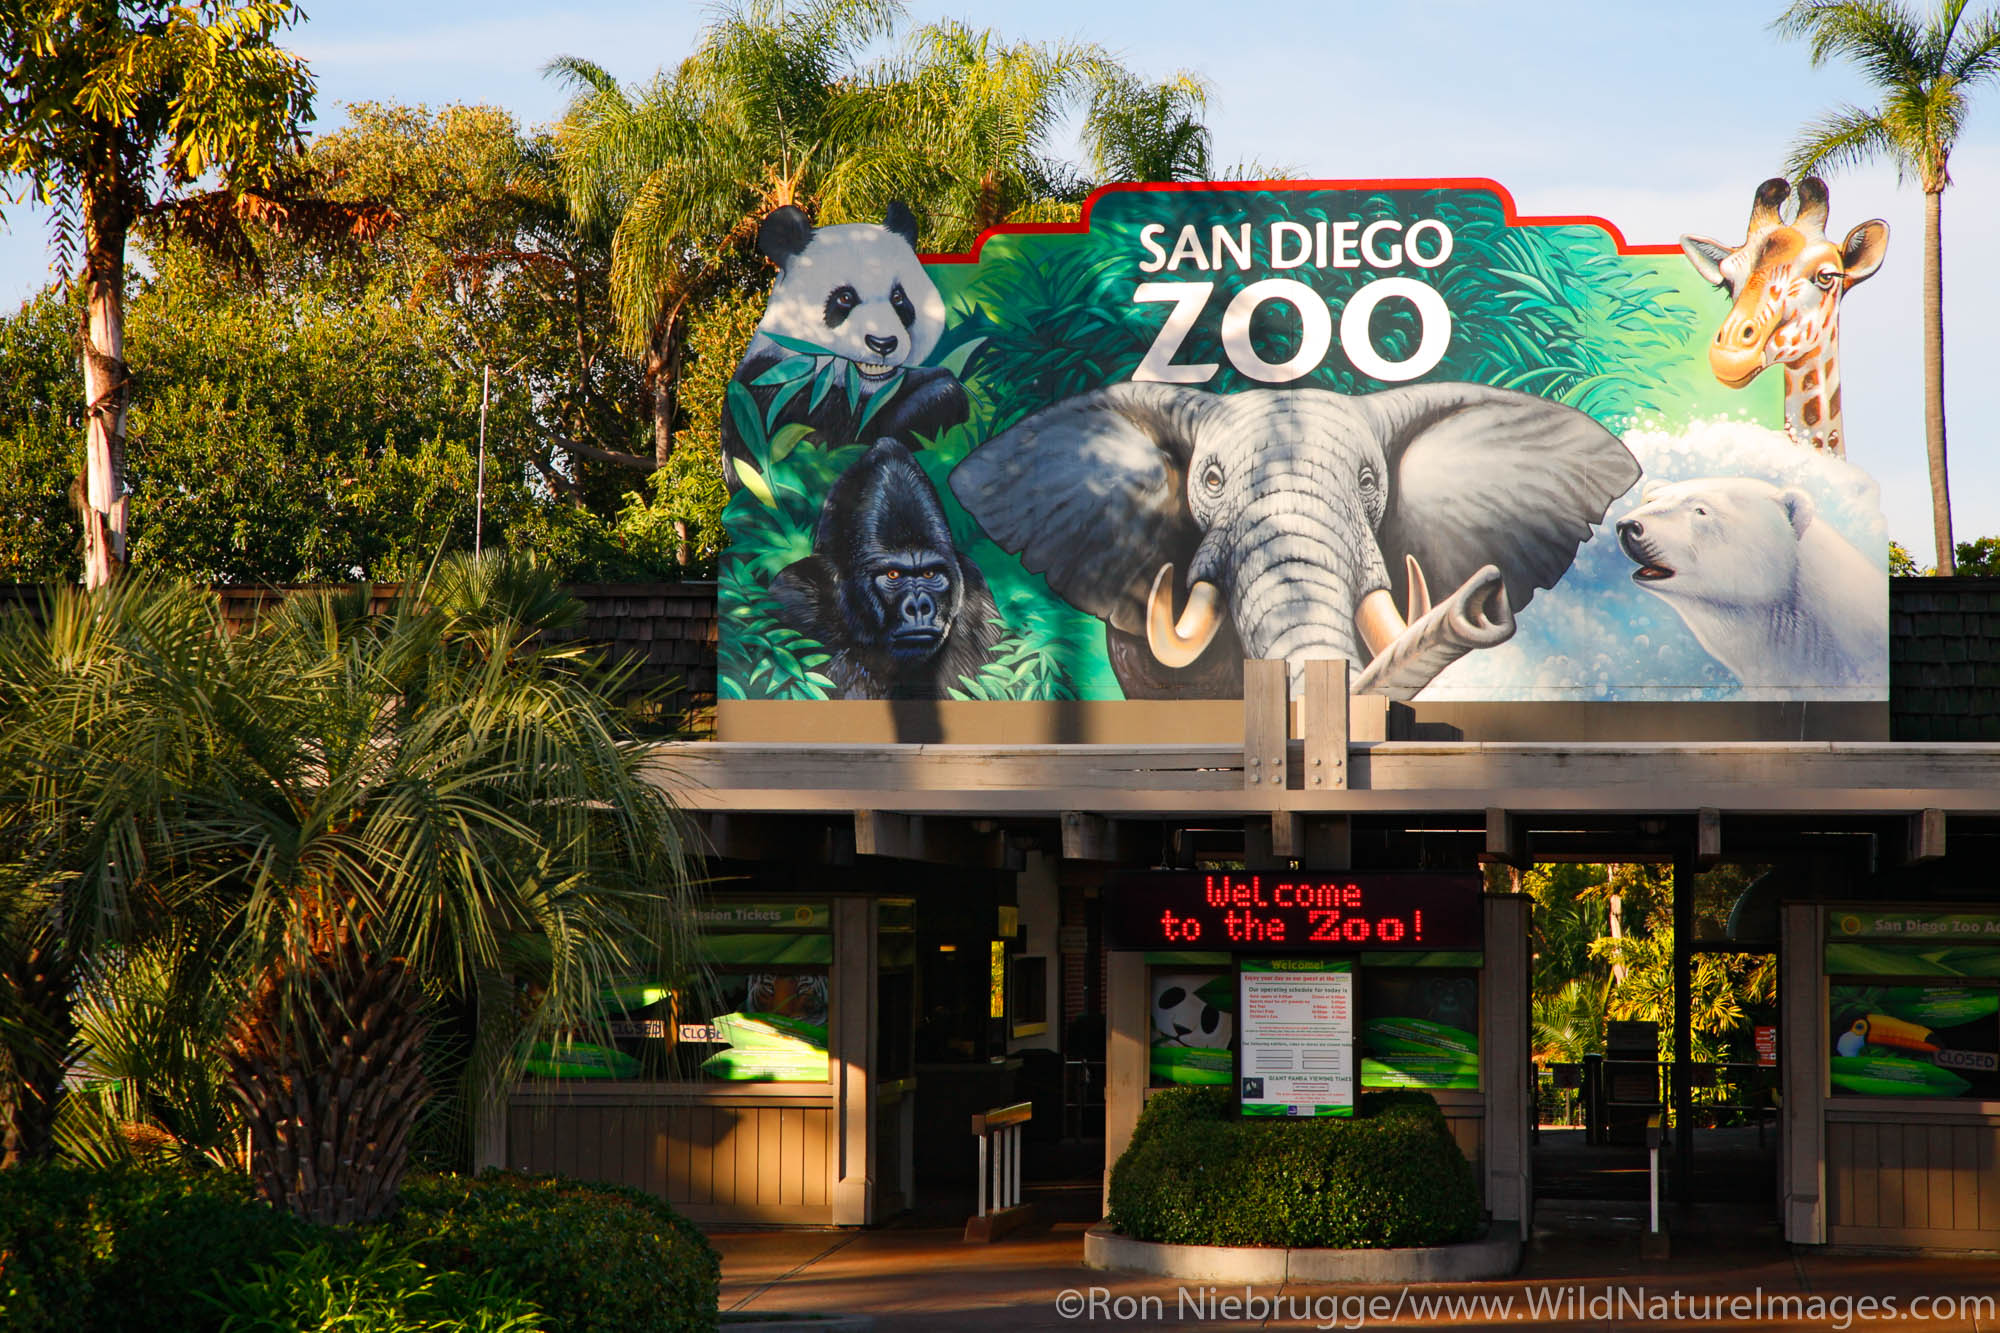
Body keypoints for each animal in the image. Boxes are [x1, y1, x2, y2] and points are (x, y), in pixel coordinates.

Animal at [724, 197, 972, 488]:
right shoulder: (772, 390)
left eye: (898, 297)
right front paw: (937, 389)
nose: (883, 343)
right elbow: (835, 440)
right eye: (844, 298)